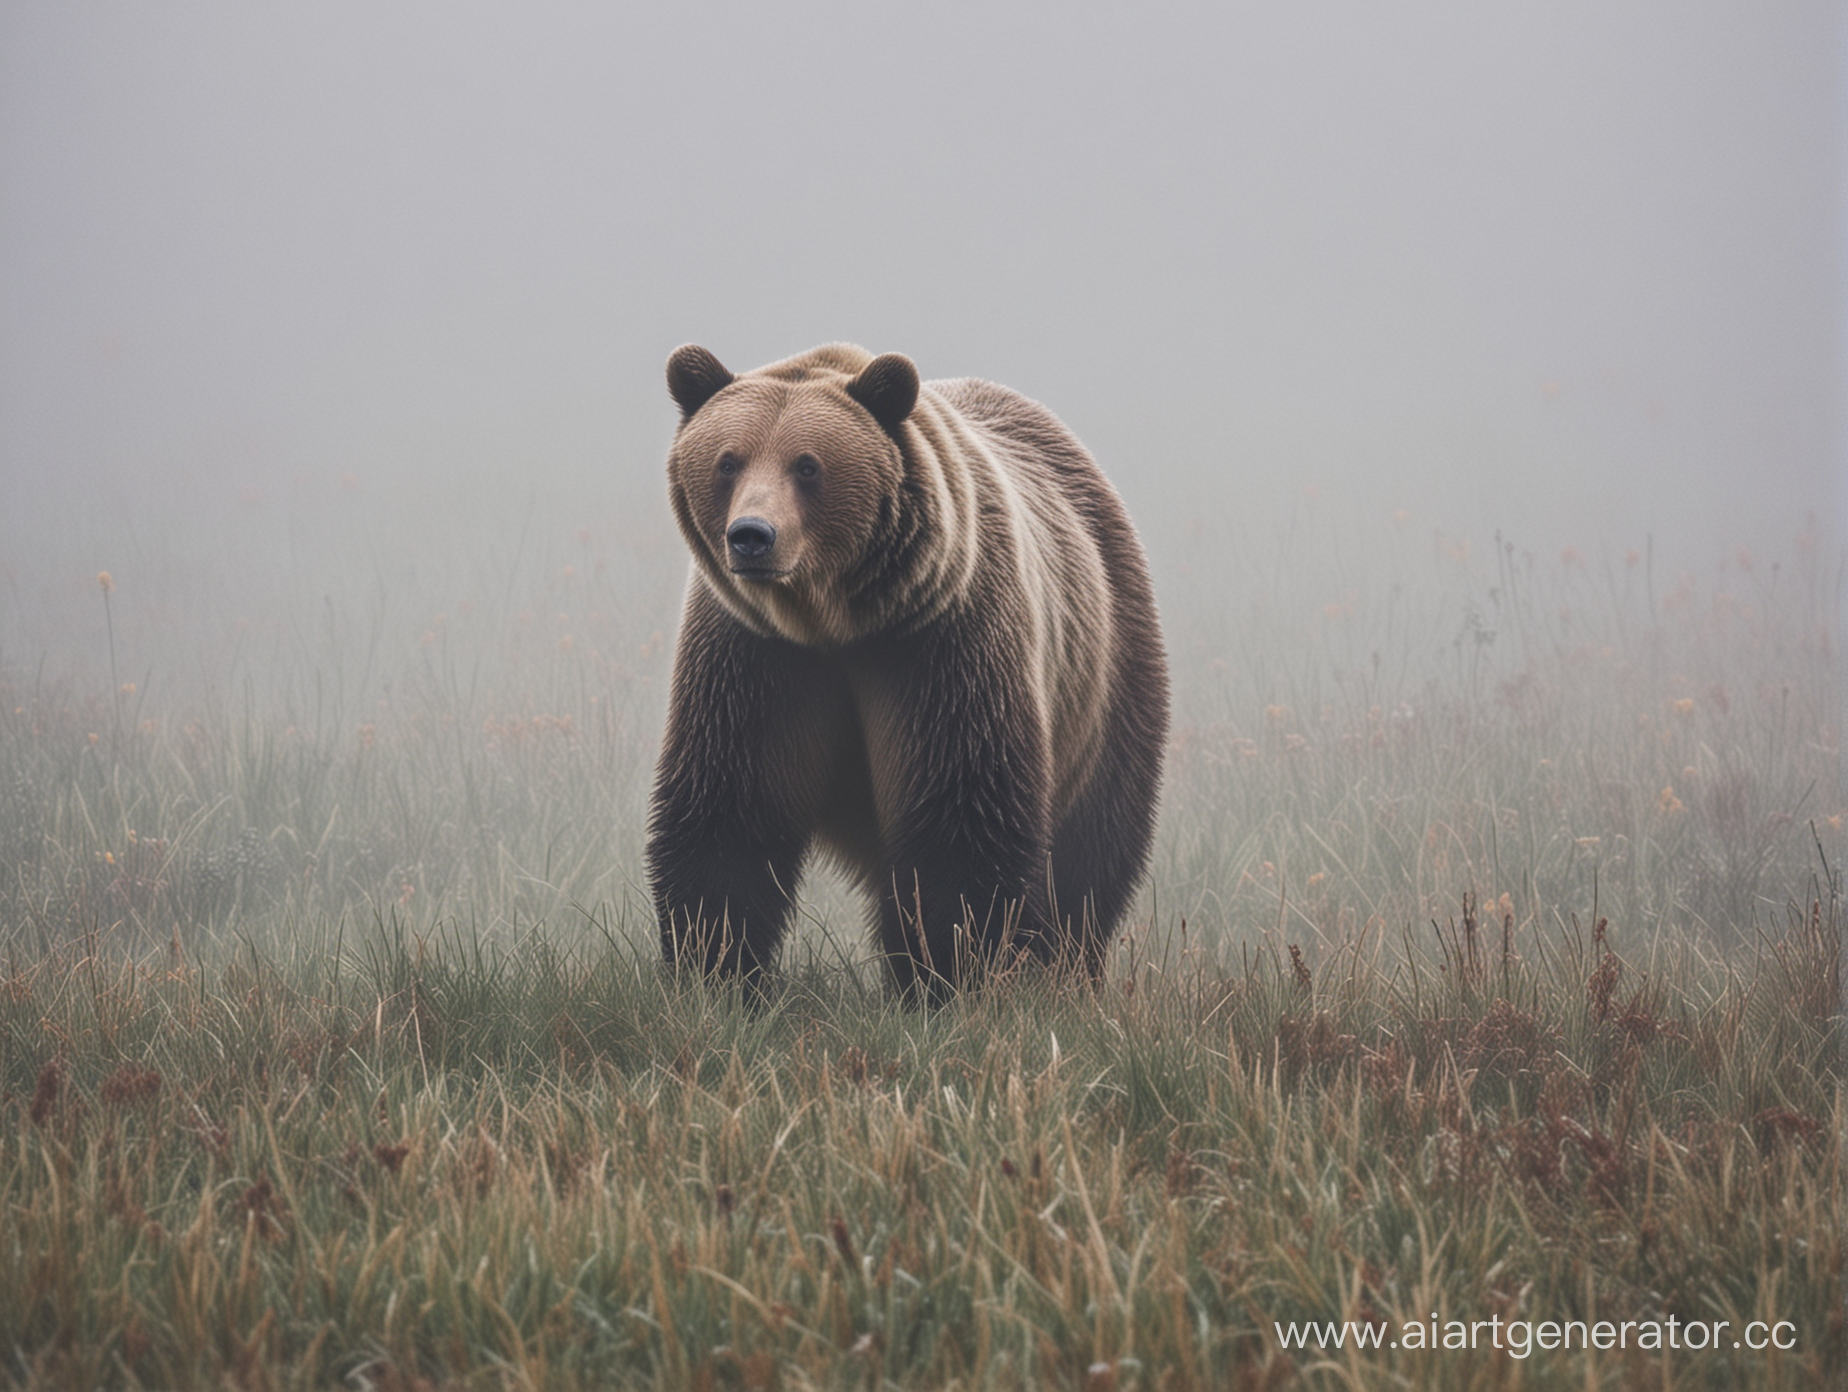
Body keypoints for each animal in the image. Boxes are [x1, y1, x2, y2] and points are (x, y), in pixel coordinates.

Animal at [650, 345, 1167, 998]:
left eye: (807, 465)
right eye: (728, 460)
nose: (751, 537)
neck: (832, 623)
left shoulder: (940, 644)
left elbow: (961, 814)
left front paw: (950, 974)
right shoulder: (756, 656)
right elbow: (729, 810)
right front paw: (714, 970)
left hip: (1108, 675)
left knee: (1090, 854)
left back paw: (1066, 971)